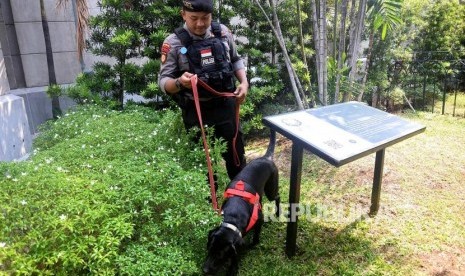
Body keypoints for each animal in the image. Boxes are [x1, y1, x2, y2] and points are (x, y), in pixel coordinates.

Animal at [202, 131, 280, 274]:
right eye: (209, 250)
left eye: (220, 256)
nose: (204, 270)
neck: (232, 218)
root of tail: (266, 158)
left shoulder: (259, 219)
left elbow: (254, 239)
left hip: (271, 190)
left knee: (277, 197)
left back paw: (278, 213)